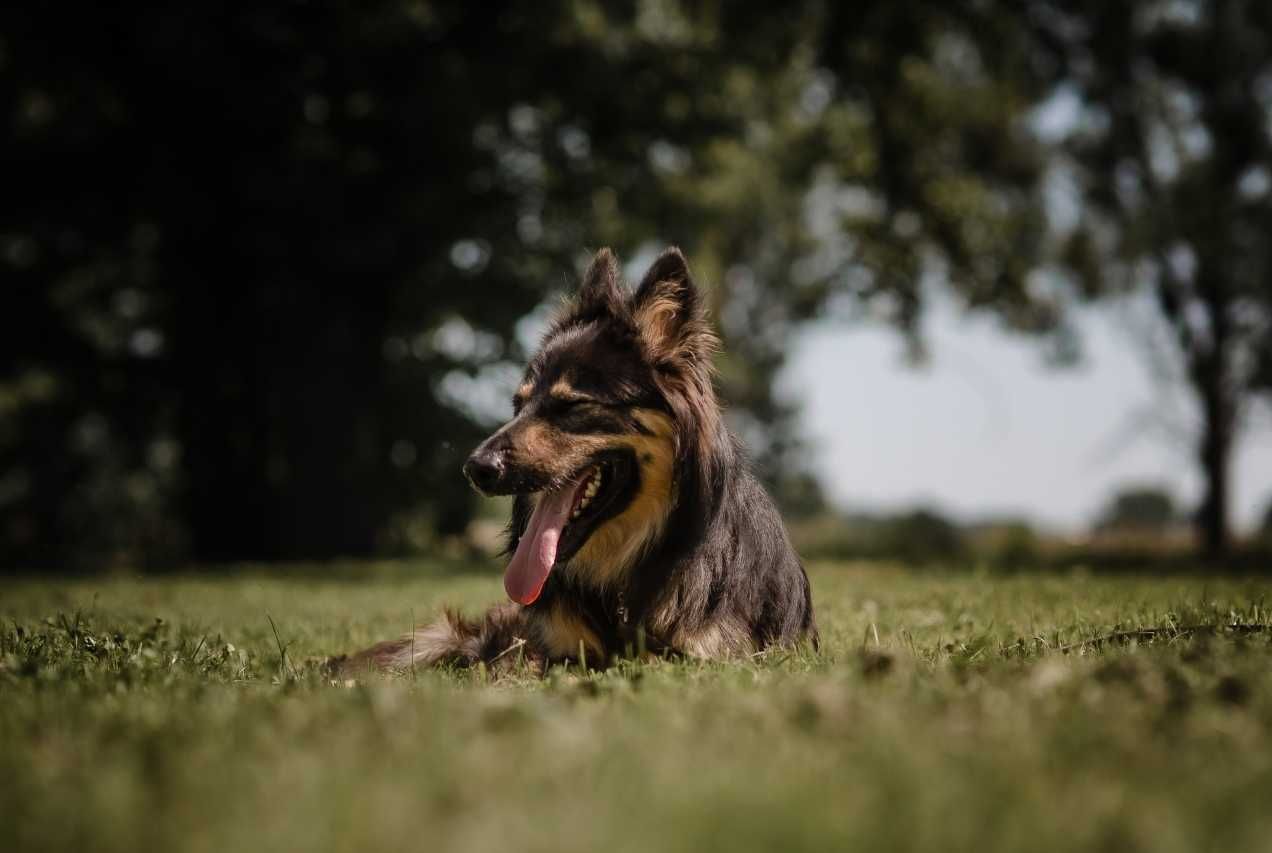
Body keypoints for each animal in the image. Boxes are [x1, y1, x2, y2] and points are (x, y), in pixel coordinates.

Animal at [338, 246, 814, 676]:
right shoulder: (548, 645)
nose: (476, 469)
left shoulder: (716, 653)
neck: (624, 570)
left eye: (571, 405)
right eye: (518, 405)